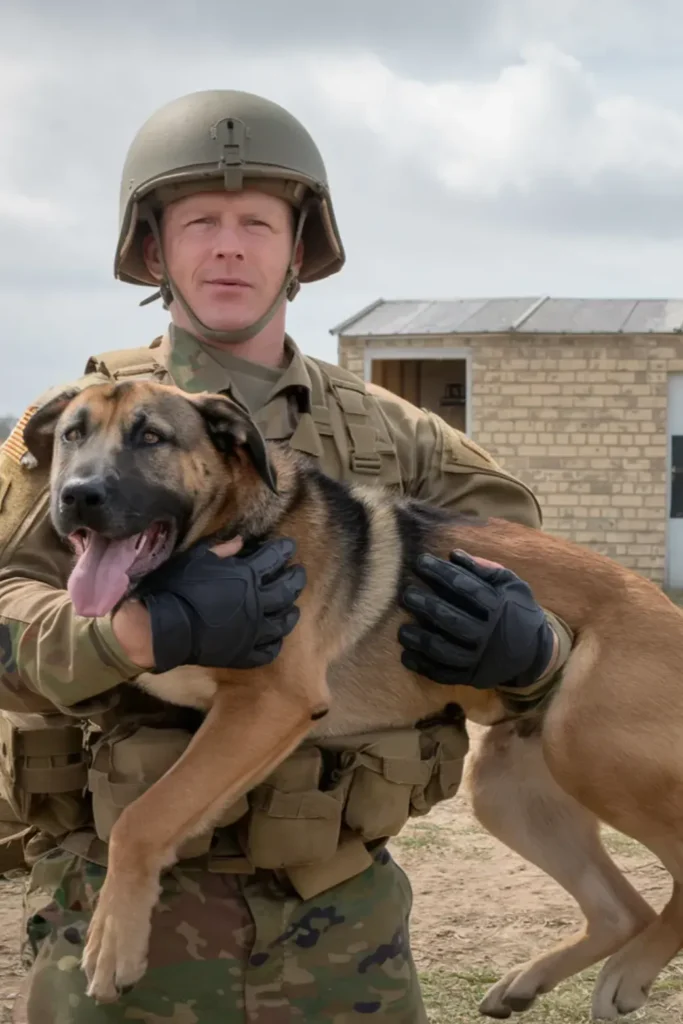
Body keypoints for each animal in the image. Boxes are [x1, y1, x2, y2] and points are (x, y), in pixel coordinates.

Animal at [20, 380, 683, 1019]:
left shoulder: (270, 703)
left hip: (586, 748)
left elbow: (142, 817)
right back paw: (531, 981)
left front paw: (114, 944)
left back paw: (628, 971)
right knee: (622, 909)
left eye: (152, 437)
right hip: (507, 788)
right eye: (73, 436)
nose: (78, 497)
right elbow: (160, 804)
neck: (233, 534)